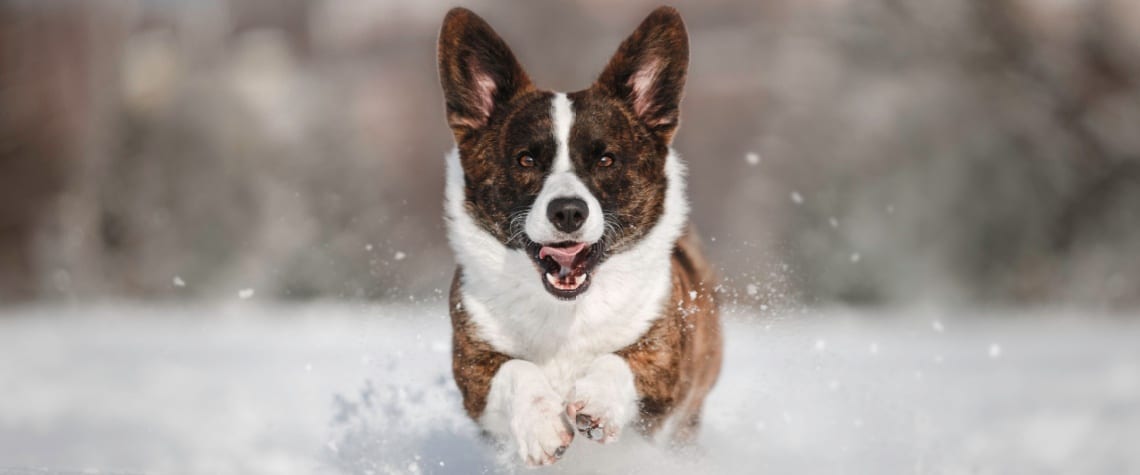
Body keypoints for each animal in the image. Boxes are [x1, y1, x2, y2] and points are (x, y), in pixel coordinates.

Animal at [435, 6, 720, 467]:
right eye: (526, 159)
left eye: (606, 160)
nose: (568, 211)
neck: (566, 313)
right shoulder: (473, 374)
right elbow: (516, 369)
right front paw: (542, 427)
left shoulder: (665, 368)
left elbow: (621, 360)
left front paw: (597, 404)